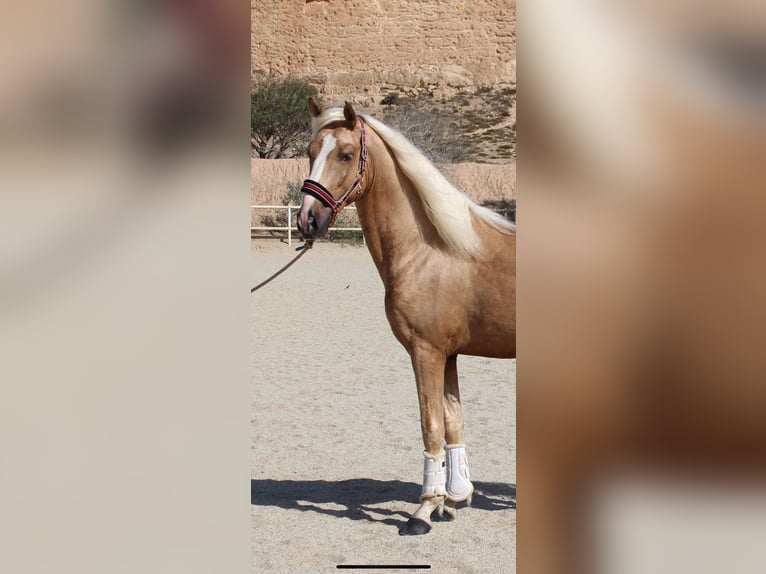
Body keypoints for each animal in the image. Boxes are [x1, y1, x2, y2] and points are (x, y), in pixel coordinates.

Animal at [296, 98, 520, 536]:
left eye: (345, 154)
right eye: (311, 152)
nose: (307, 220)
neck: (431, 249)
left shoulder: (425, 351)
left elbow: (430, 425)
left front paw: (424, 510)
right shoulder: (448, 355)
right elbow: (452, 421)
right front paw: (454, 499)